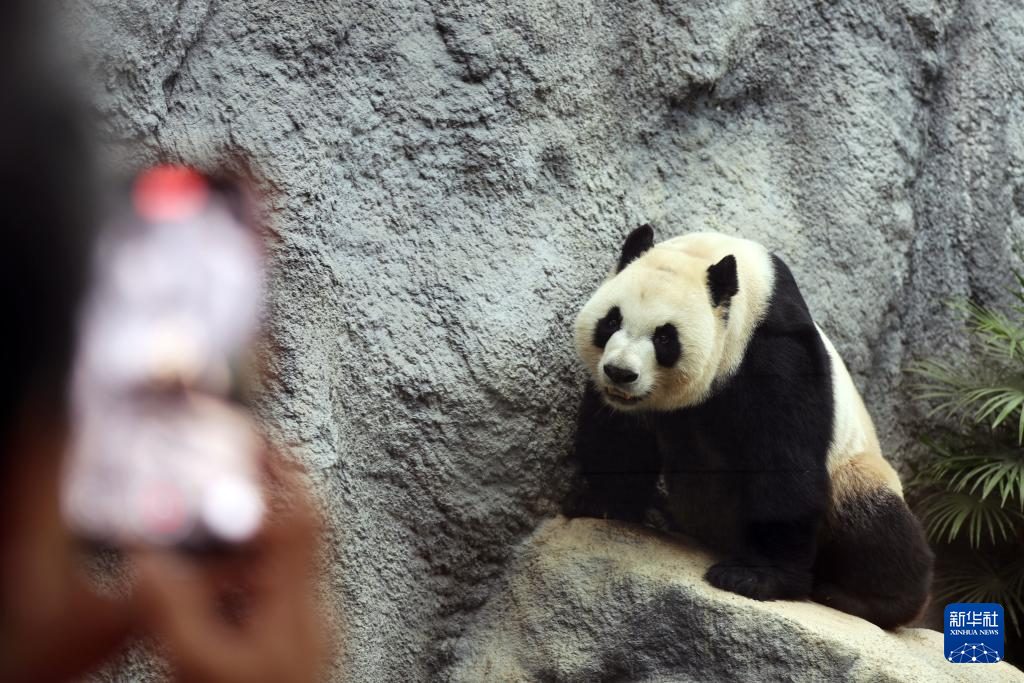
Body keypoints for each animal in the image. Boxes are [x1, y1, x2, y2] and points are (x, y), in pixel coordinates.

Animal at [569, 225, 937, 630]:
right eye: (611, 321)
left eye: (665, 337)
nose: (620, 372)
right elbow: (620, 438)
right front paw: (603, 503)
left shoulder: (773, 349)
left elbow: (784, 462)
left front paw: (754, 577)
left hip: (853, 472)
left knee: (876, 525)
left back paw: (870, 600)